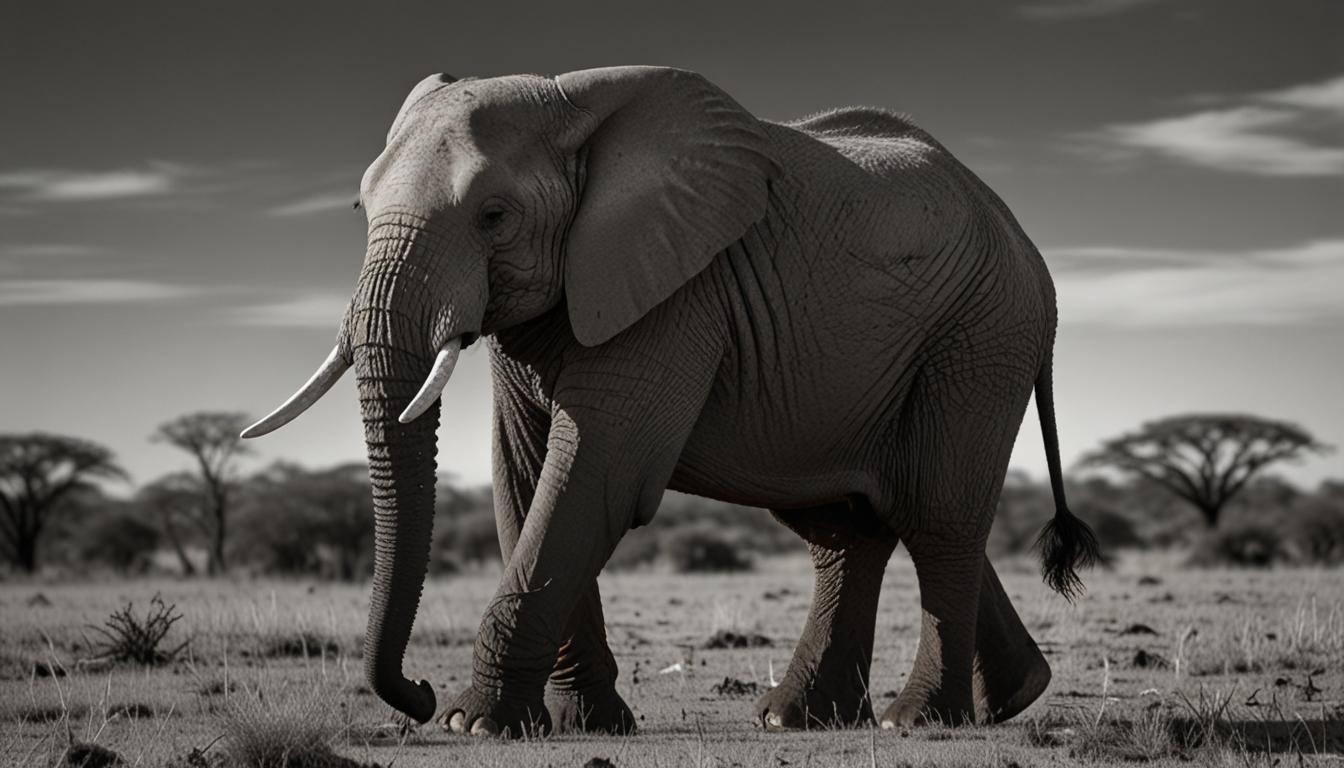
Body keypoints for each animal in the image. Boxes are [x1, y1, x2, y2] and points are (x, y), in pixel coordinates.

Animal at [241, 66, 1098, 736]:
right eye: (358, 211)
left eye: (493, 216)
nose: (414, 694)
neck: (574, 109)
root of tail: (1027, 245)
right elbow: (524, 475)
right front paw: (577, 726)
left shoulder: (677, 293)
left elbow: (594, 473)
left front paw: (473, 723)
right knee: (861, 522)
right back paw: (859, 712)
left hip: (981, 337)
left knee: (935, 514)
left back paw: (917, 722)